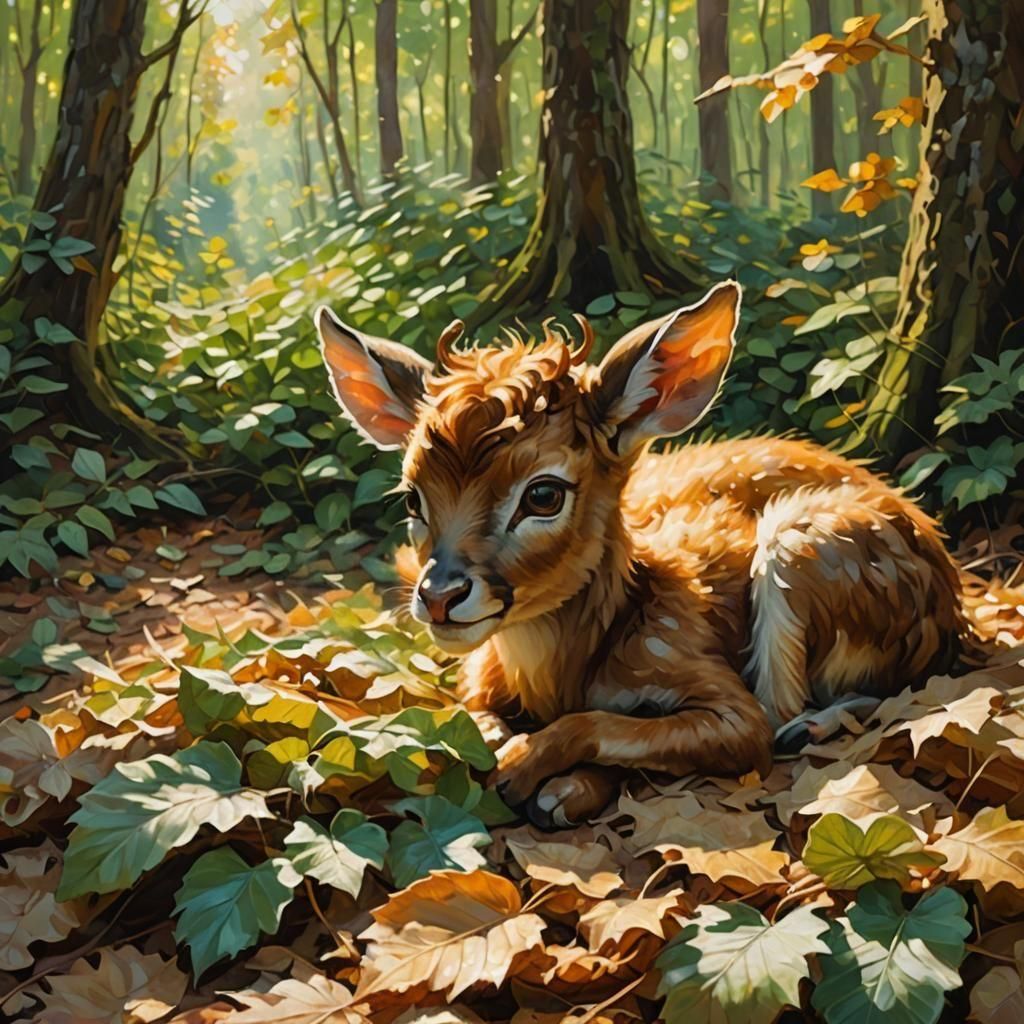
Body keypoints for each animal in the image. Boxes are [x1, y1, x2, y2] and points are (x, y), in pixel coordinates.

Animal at [315, 282, 965, 828]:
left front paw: (542, 780)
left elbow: (617, 725)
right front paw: (518, 760)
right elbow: (472, 722)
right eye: (412, 496)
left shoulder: (718, 692)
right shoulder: (474, 678)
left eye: (544, 494)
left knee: (827, 698)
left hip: (802, 543)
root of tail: (953, 594)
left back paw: (808, 729)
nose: (440, 596)